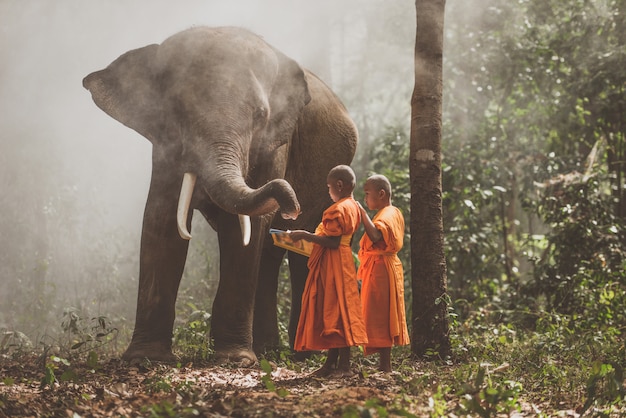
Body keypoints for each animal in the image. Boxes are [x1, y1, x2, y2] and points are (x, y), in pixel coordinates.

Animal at [81, 27, 356, 366]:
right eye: (177, 109)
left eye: (261, 115)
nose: (291, 205)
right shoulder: (165, 144)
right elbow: (162, 218)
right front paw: (145, 359)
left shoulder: (277, 143)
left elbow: (244, 226)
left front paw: (235, 360)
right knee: (269, 255)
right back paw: (270, 350)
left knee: (302, 249)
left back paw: (302, 355)